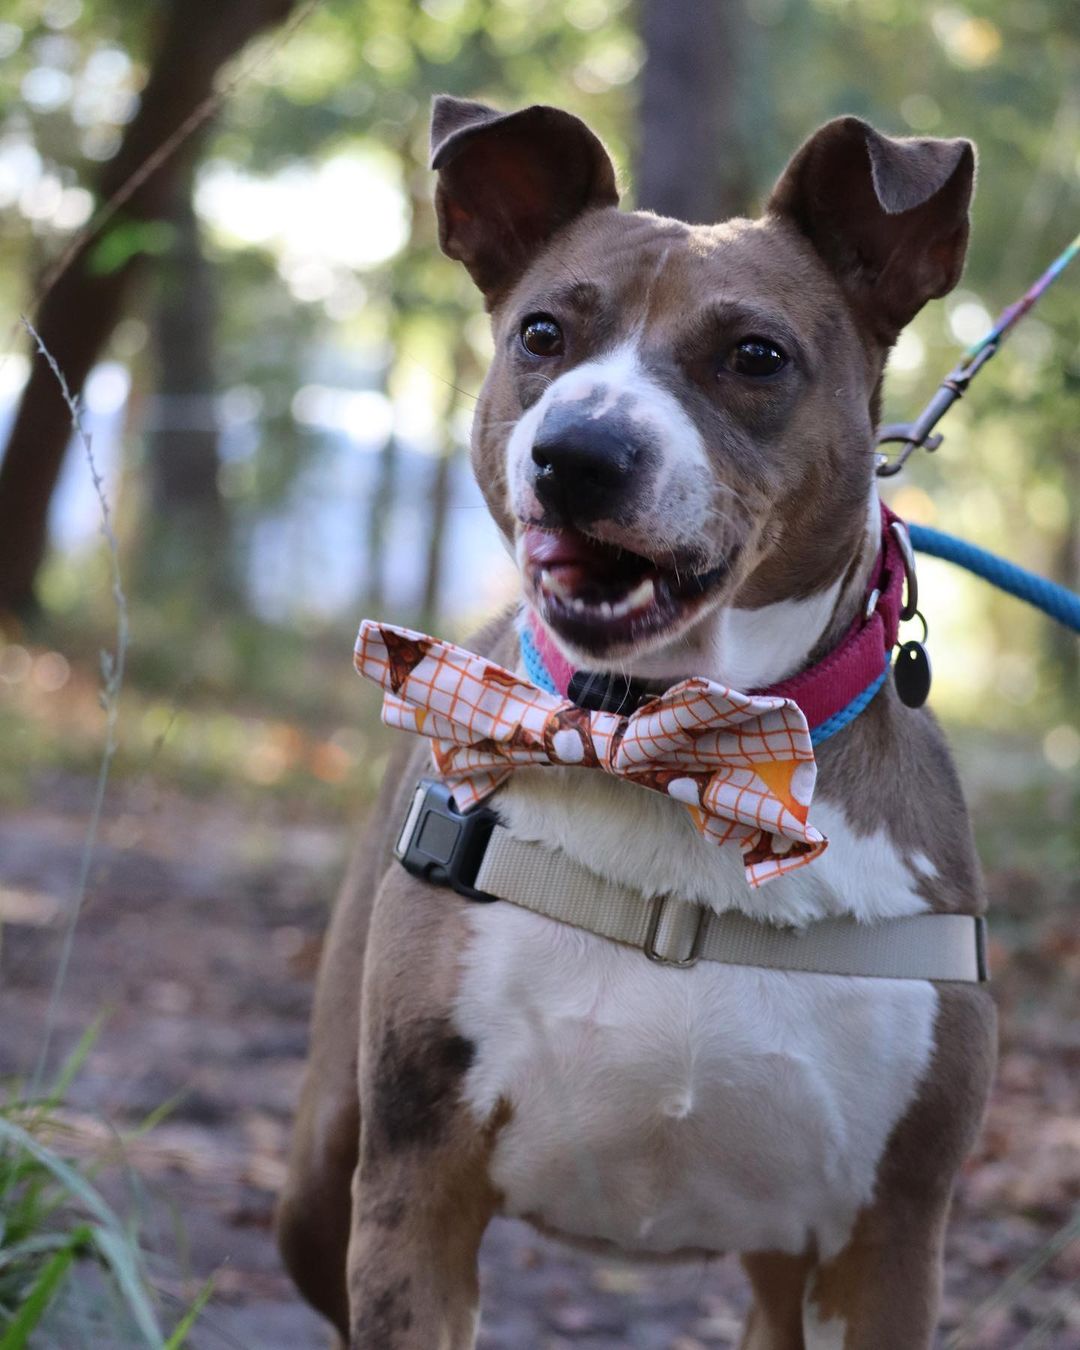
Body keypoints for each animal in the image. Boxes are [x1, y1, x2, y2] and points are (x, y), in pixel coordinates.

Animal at [276, 97, 993, 1350]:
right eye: (542, 333)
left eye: (755, 355)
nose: (578, 453)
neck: (659, 744)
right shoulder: (416, 1189)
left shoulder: (889, 1239)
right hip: (323, 1172)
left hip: (784, 1263)